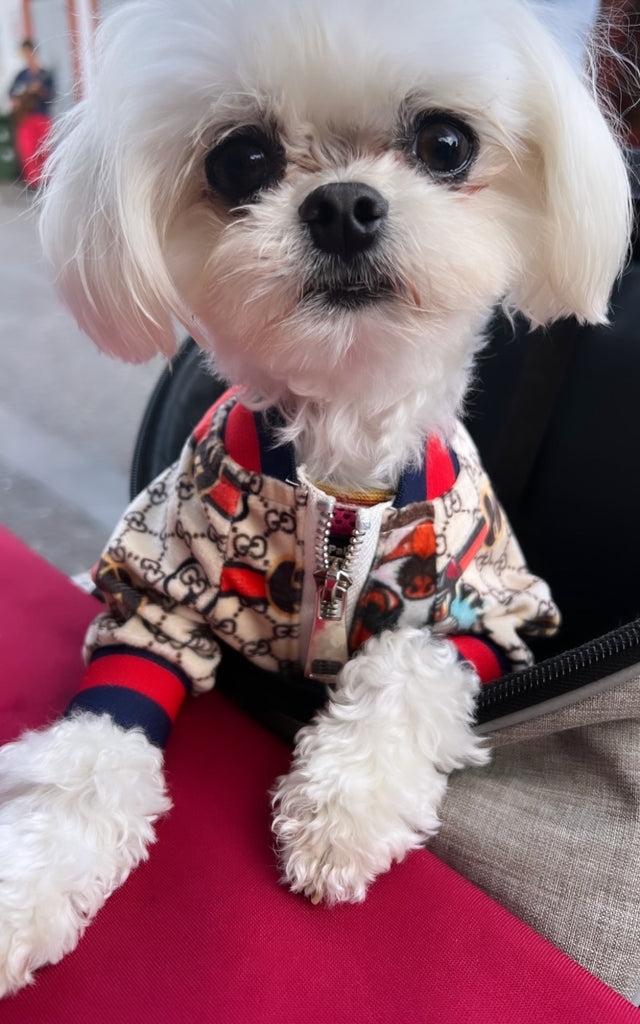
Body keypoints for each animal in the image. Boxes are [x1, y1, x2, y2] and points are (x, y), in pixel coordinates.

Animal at [0, 0, 630, 999]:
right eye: (240, 159)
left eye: (445, 142)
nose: (342, 204)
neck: (340, 467)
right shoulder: (157, 596)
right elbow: (92, 750)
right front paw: (29, 875)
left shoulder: (493, 605)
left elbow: (412, 670)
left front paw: (344, 814)